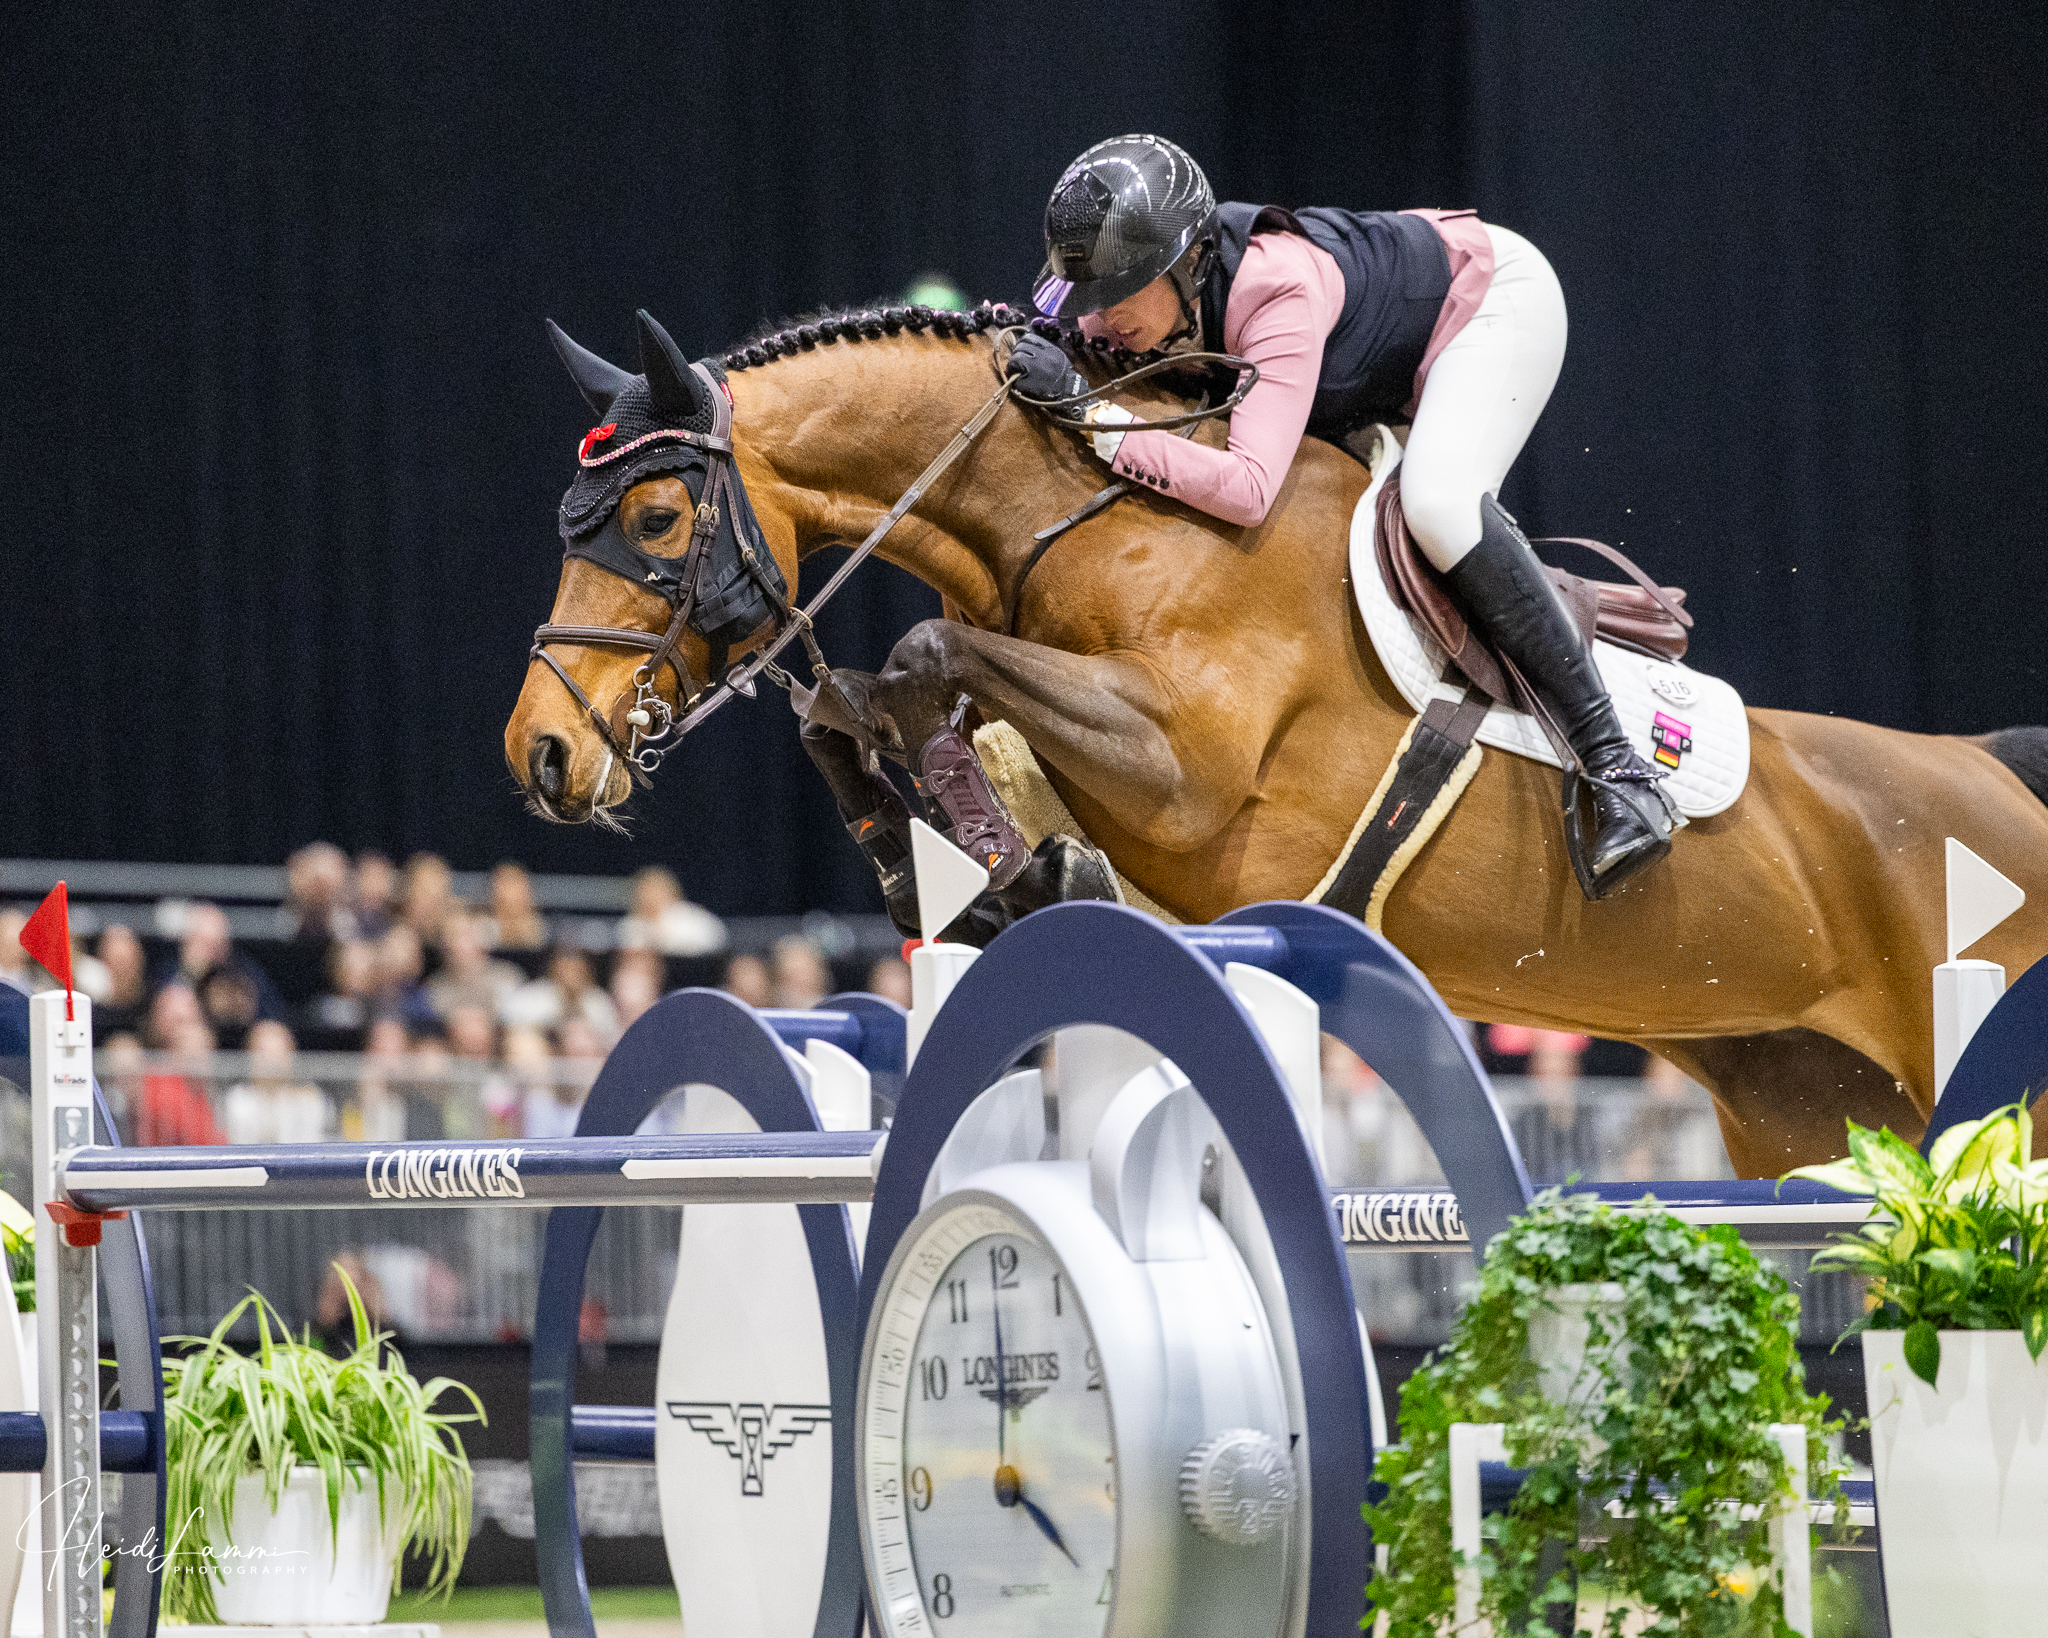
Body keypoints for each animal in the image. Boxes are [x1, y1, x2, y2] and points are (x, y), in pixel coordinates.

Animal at [503, 303, 2048, 1177]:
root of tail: (1995, 771)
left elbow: (926, 667)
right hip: (1804, 1109)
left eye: (654, 519)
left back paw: (1627, 807)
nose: (543, 757)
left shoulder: (1187, 778)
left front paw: (1001, 863)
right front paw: (958, 868)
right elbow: (867, 704)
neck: (1095, 514)